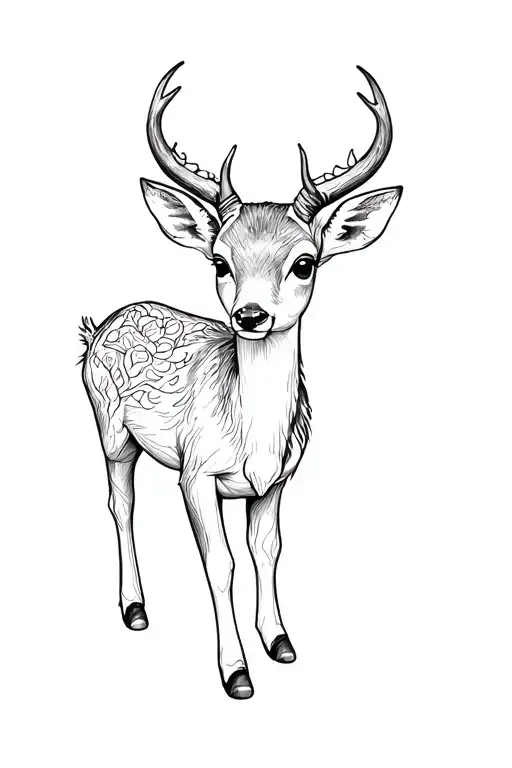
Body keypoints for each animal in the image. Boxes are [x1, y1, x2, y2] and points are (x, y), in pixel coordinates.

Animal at [81, 61, 402, 699]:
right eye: (219, 260)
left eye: (305, 261)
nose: (249, 316)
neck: (252, 439)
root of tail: (98, 325)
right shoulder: (196, 472)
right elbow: (221, 563)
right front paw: (236, 672)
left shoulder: (276, 482)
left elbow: (267, 551)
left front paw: (280, 642)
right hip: (110, 429)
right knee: (120, 502)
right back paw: (134, 608)